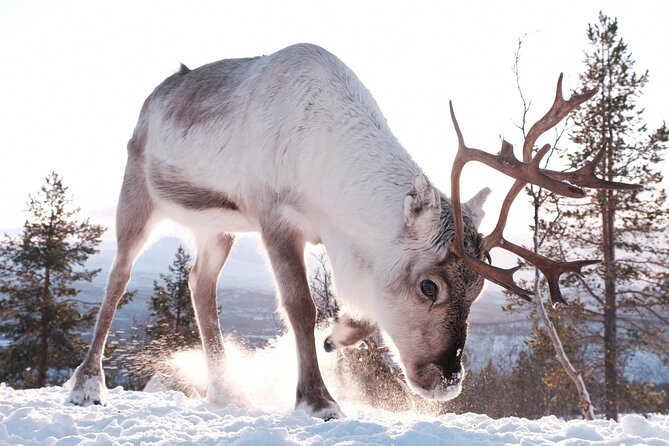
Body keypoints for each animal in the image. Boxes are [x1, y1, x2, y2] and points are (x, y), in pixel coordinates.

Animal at [67, 43, 638, 420]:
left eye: (479, 287)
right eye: (428, 285)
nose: (446, 381)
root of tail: (157, 93)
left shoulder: (339, 243)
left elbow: (359, 311)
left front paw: (337, 334)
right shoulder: (276, 217)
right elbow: (299, 306)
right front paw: (319, 400)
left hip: (219, 226)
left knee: (199, 286)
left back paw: (227, 391)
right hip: (137, 193)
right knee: (118, 278)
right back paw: (87, 384)